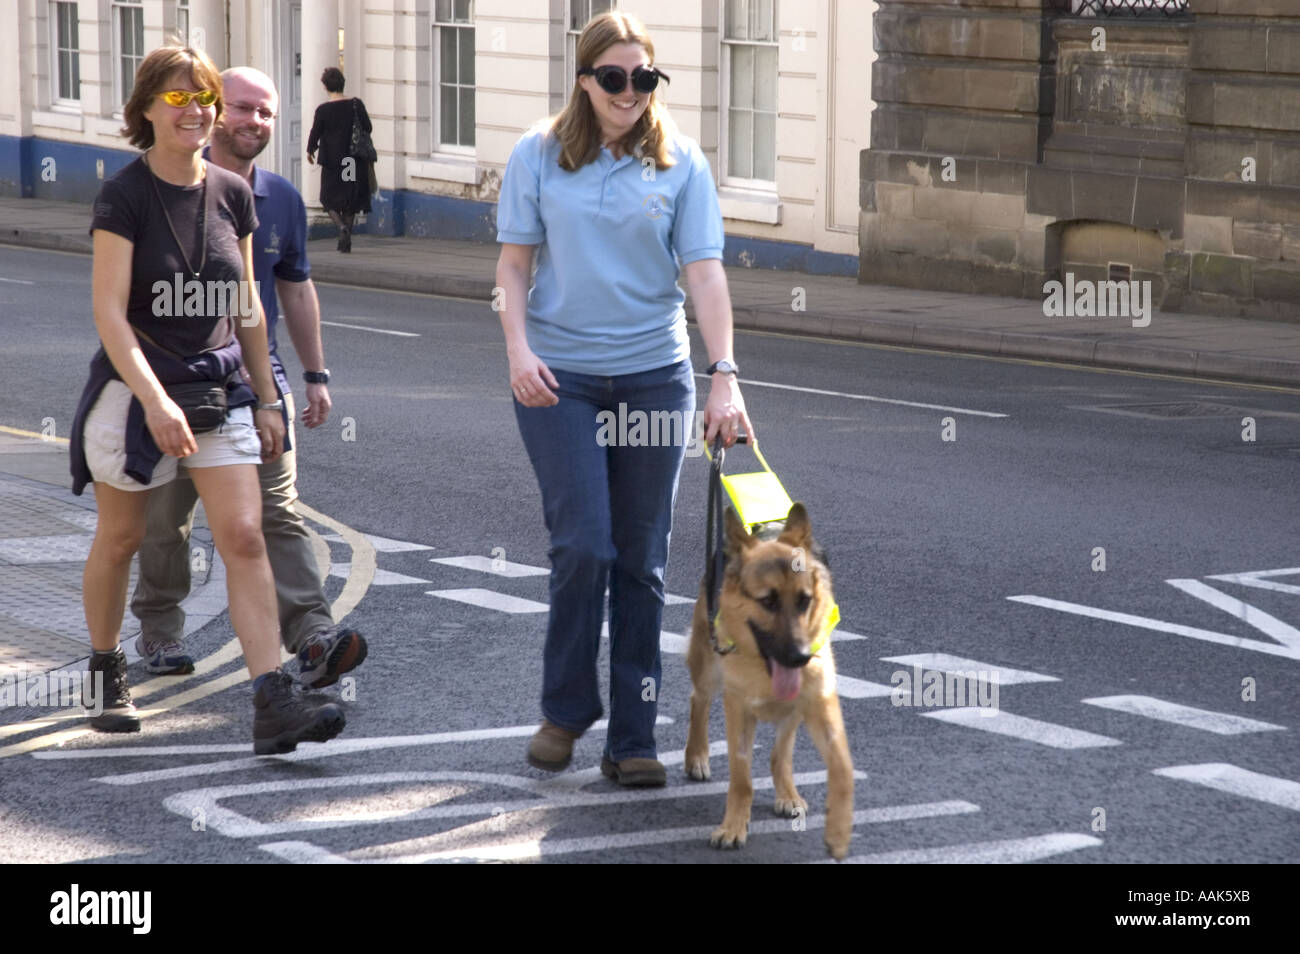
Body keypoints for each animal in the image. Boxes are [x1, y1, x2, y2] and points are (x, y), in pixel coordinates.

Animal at [681, 504, 852, 863]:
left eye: (804, 601)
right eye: (768, 602)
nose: (800, 657)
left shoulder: (818, 700)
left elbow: (840, 765)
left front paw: (839, 831)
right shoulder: (737, 708)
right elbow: (741, 778)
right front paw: (733, 827)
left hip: (793, 710)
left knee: (780, 751)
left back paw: (787, 794)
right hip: (708, 666)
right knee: (698, 700)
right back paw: (697, 756)